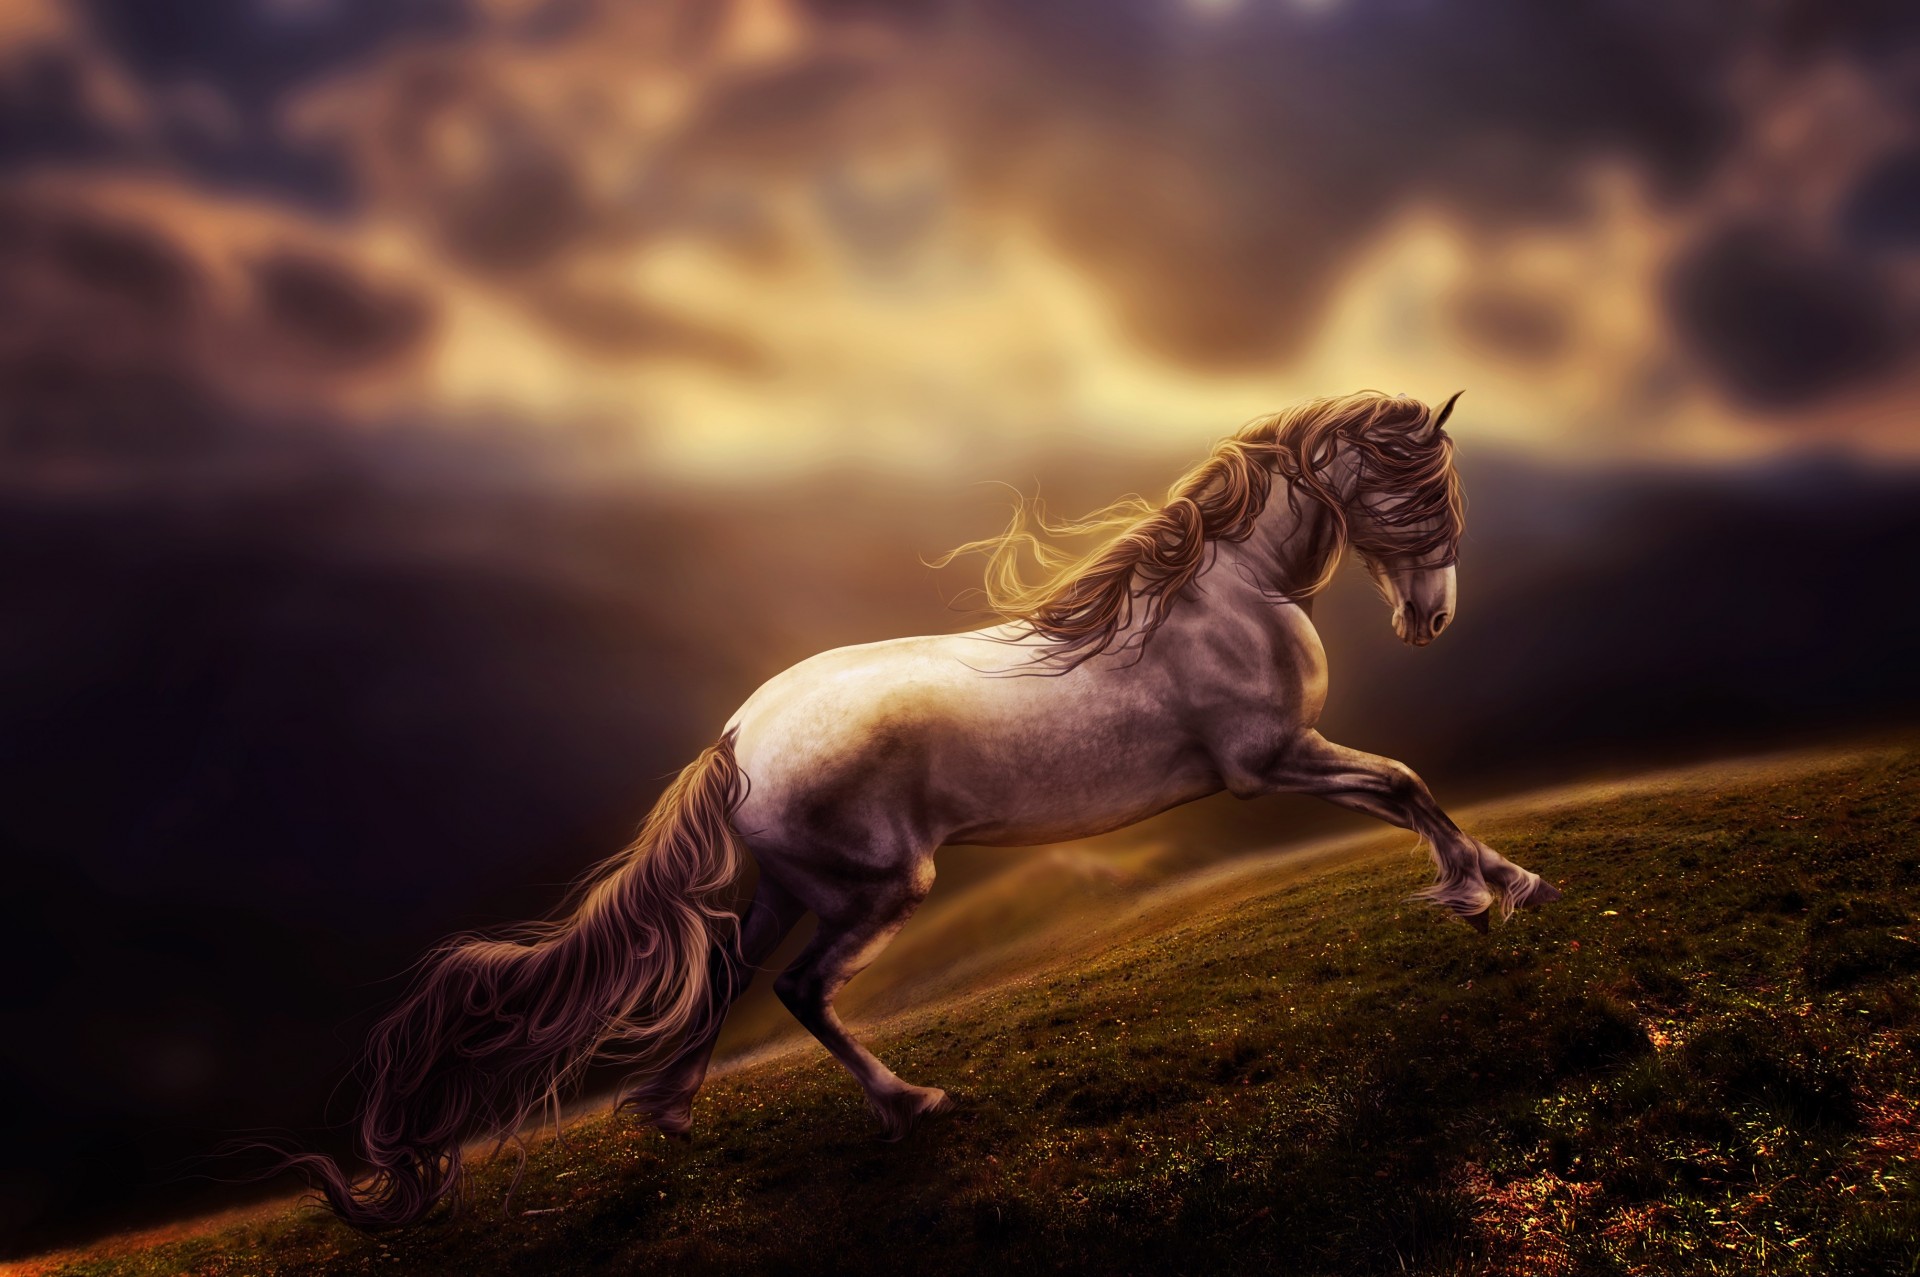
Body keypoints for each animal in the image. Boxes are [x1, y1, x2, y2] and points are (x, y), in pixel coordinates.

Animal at [294, 389, 1561, 1228]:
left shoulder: (1282, 761)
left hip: (787, 888)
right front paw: (1486, 890)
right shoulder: (1271, 761)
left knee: (725, 974)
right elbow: (1403, 782)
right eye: (1411, 492)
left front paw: (1506, 881)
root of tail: (736, 740)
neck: (1223, 594)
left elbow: (1404, 785)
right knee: (801, 991)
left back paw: (669, 1113)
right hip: (875, 889)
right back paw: (910, 1103)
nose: (1430, 616)